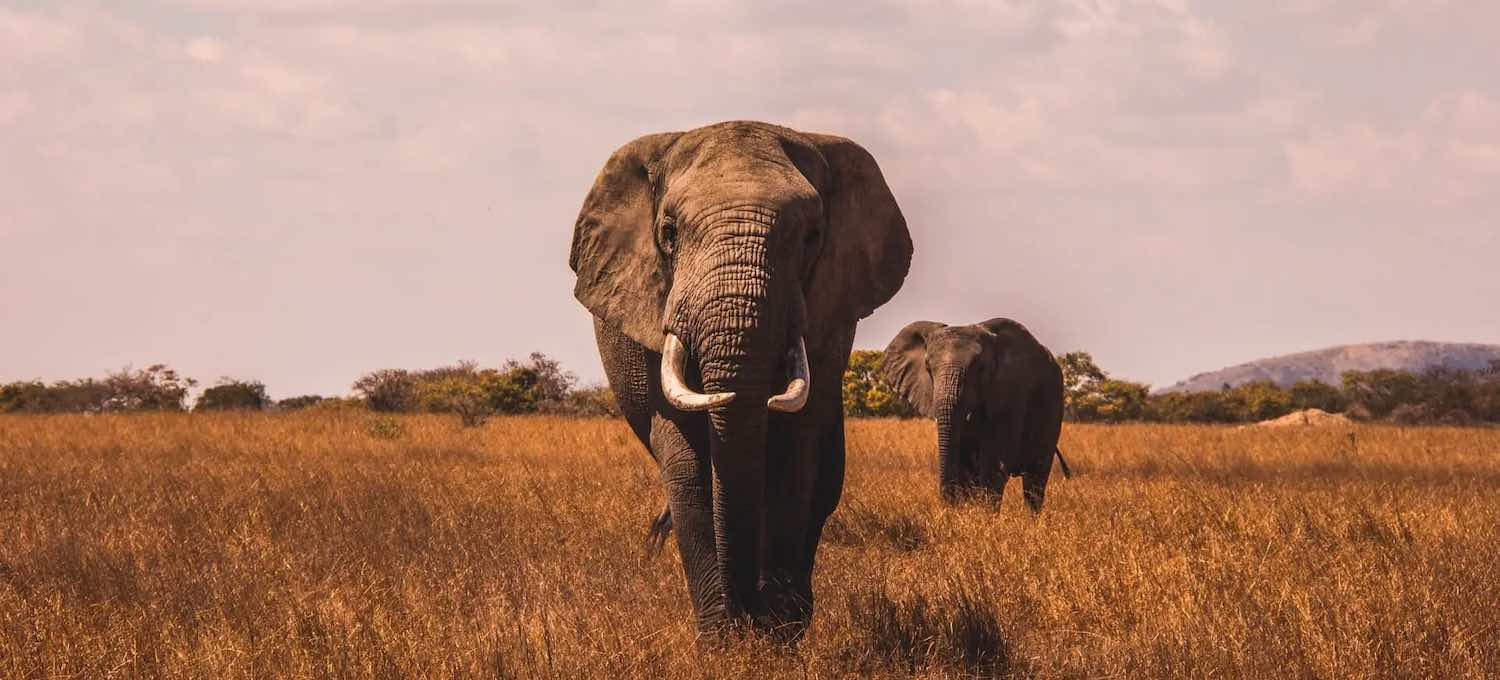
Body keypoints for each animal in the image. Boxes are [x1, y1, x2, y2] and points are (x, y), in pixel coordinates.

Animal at [564, 120, 906, 636]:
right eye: (669, 233)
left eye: (812, 236)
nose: (750, 613)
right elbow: (687, 464)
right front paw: (724, 639)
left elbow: (793, 455)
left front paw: (779, 634)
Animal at [882, 318, 1074, 510]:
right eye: (928, 368)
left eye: (980, 369)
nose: (948, 504)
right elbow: (966, 466)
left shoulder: (1011, 393)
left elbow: (993, 464)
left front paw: (986, 516)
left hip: (1053, 406)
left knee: (1035, 480)